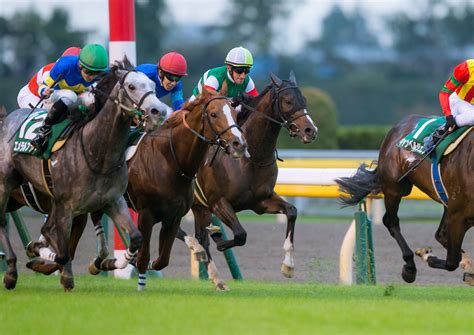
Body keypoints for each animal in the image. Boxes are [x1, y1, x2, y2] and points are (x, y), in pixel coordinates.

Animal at [0, 61, 168, 292]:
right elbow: (61, 250)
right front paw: (56, 268)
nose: (158, 111)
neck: (97, 152)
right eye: (132, 86)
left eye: (152, 85)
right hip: (5, 184)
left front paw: (111, 263)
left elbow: (135, 238)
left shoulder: (112, 201)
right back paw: (10, 273)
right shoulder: (65, 206)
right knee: (2, 222)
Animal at [178, 72, 318, 290]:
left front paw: (288, 266)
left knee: (199, 235)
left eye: (304, 100)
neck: (251, 159)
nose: (310, 130)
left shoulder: (260, 201)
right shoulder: (218, 202)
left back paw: (216, 277)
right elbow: (240, 235)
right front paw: (219, 238)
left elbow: (292, 212)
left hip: (199, 206)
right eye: (288, 101)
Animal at [336, 115, 474, 286]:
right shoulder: (458, 213)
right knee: (391, 221)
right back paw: (410, 267)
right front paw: (427, 255)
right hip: (394, 188)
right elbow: (451, 262)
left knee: (441, 235)